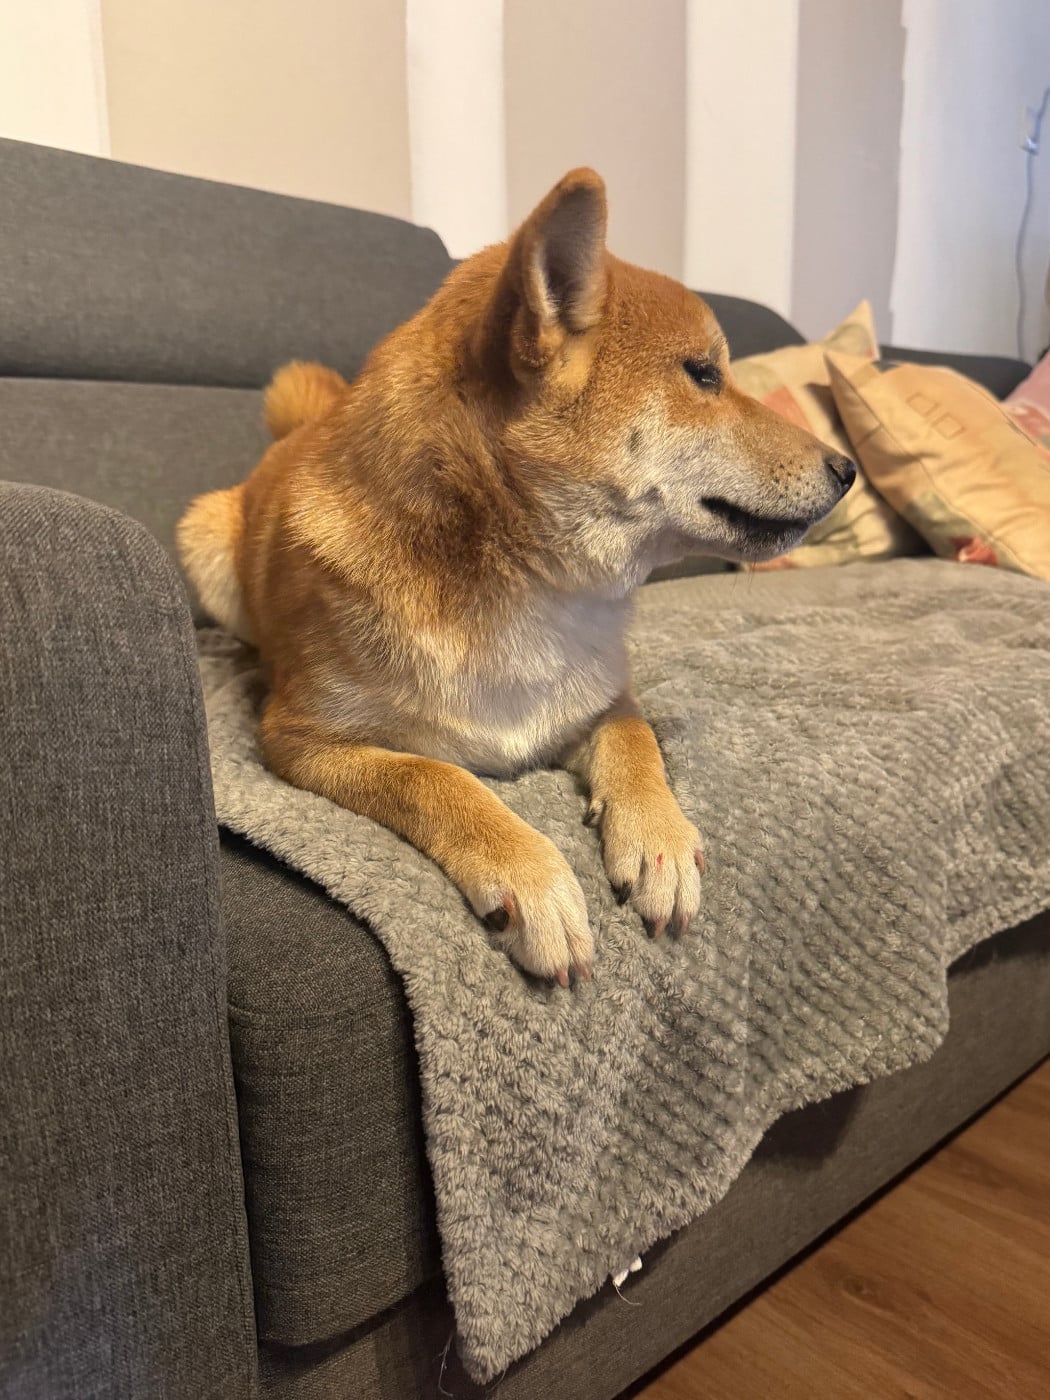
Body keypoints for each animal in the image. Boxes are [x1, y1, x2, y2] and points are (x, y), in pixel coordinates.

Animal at [178, 168, 854, 986]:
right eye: (703, 374)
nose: (847, 468)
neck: (527, 586)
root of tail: (293, 436)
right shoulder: (300, 741)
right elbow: (436, 777)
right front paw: (530, 875)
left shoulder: (601, 700)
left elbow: (638, 744)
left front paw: (658, 837)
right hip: (203, 535)